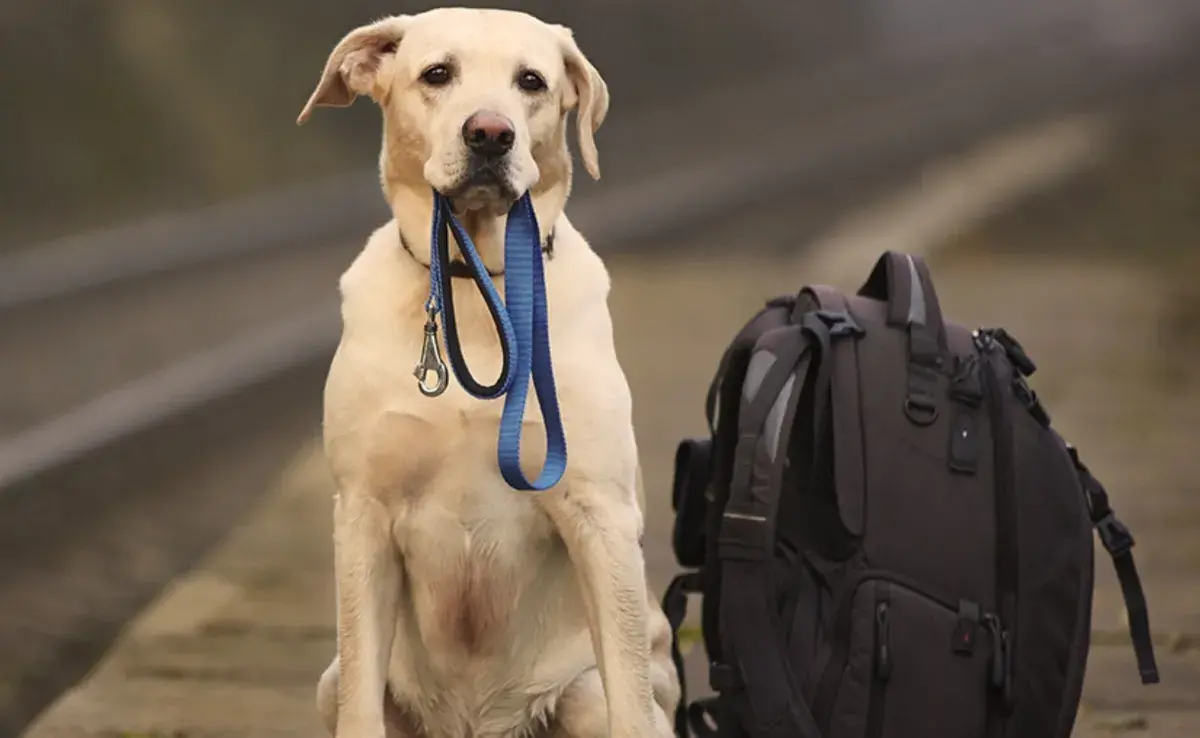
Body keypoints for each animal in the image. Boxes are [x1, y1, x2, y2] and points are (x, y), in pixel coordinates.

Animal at [296, 7, 681, 738]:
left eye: (531, 81)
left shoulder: (599, 516)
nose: (490, 134)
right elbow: (361, 694)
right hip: (330, 683)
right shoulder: (362, 513)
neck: (477, 289)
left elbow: (628, 690)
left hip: (582, 693)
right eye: (437, 73)